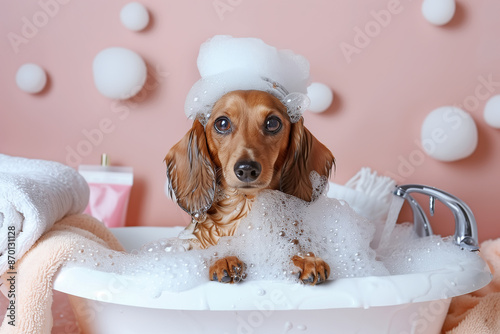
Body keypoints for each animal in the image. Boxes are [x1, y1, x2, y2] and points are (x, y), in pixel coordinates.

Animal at [165, 90, 336, 286]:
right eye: (222, 123)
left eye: (272, 123)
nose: (247, 169)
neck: (244, 206)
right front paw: (225, 258)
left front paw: (306, 259)